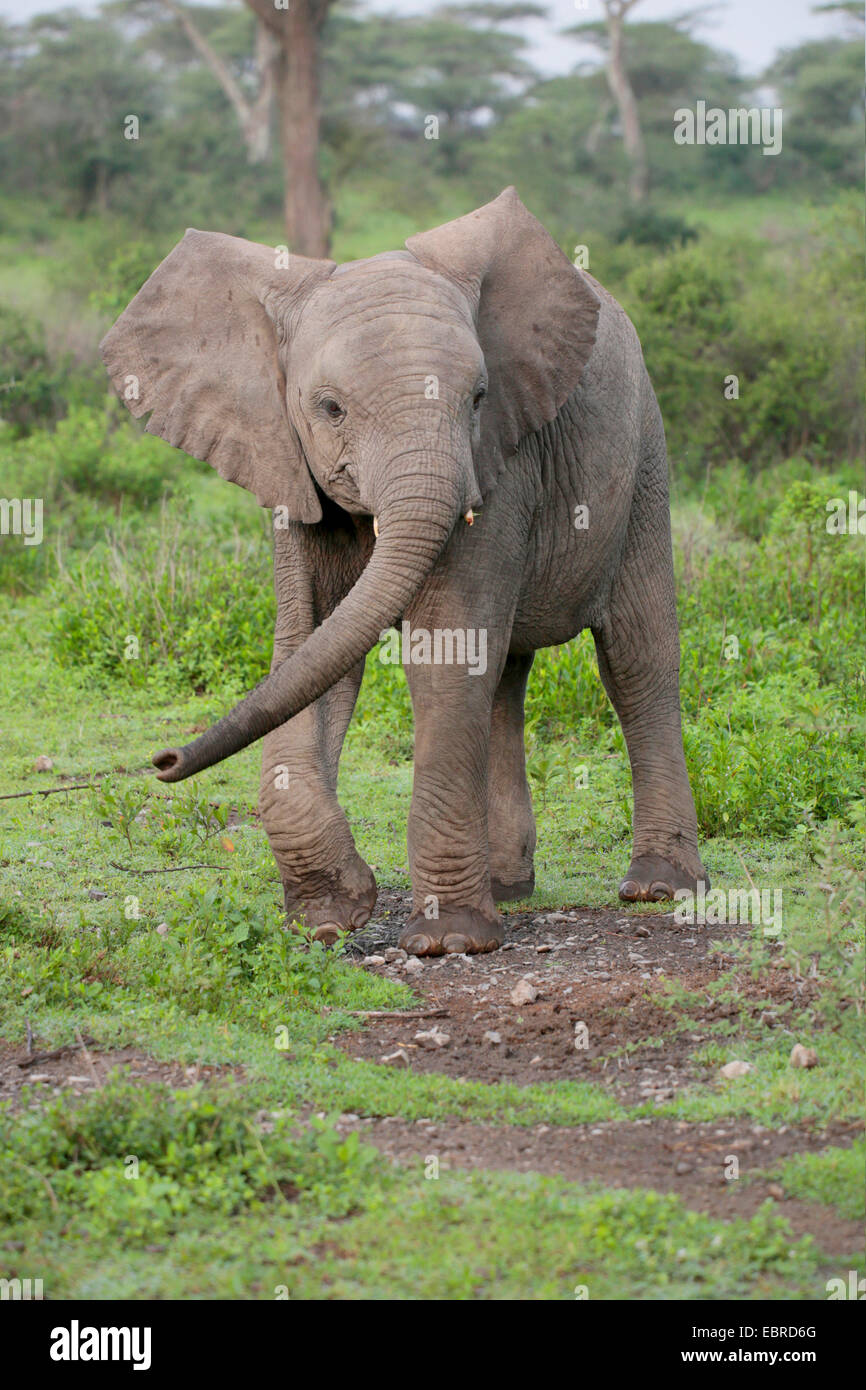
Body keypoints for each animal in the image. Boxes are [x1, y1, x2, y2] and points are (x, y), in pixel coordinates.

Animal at [103, 187, 711, 956]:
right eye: (329, 408)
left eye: (478, 398)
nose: (163, 761)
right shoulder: (288, 463)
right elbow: (308, 651)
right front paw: (328, 916)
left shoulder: (500, 459)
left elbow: (444, 652)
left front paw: (448, 940)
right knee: (504, 678)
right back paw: (509, 889)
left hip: (645, 457)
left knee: (636, 656)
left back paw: (660, 888)